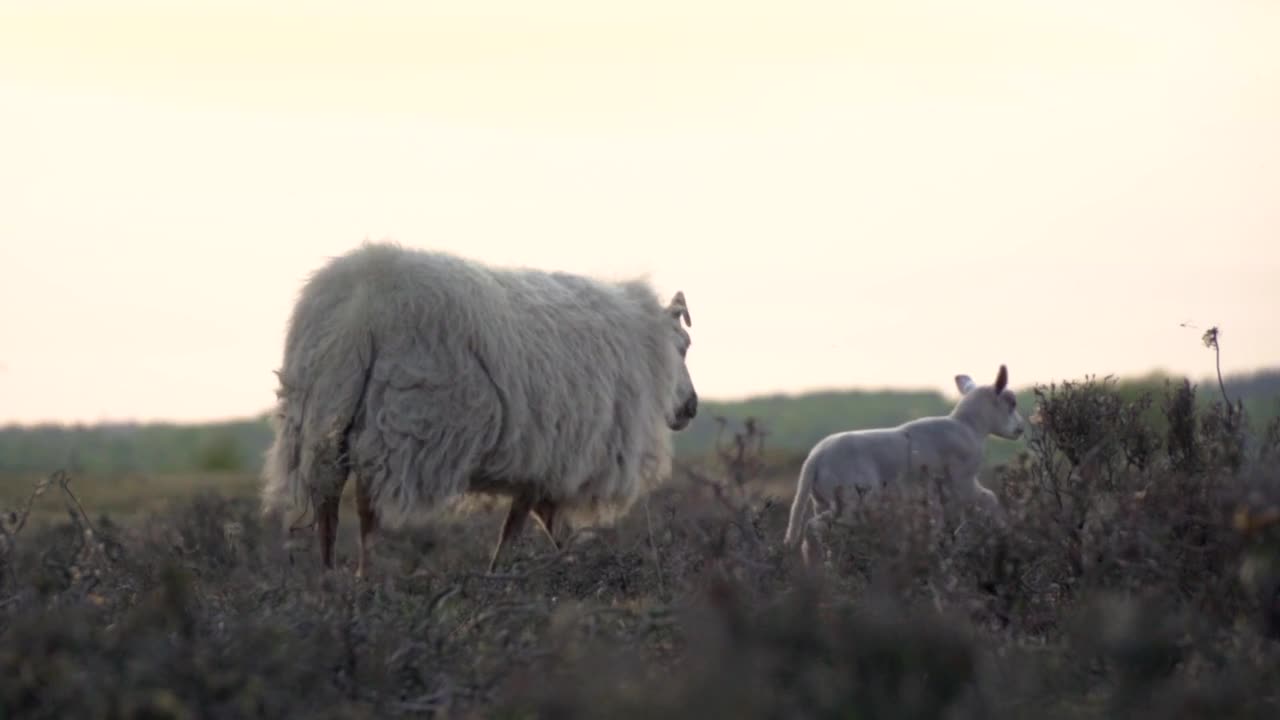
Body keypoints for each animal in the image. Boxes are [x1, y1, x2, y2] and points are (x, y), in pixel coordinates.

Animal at [259, 240, 701, 576]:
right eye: (683, 346)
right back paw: (364, 578)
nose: (692, 407)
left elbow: (534, 520)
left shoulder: (539, 460)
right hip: (398, 422)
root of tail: (362, 299)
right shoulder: (550, 456)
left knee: (329, 506)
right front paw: (527, 569)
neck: (647, 348)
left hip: (322, 416)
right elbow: (527, 525)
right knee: (366, 509)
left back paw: (330, 578)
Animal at [778, 363, 1029, 566]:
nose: (1020, 429)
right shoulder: (963, 482)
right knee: (814, 528)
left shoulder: (933, 498)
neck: (969, 426)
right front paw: (1003, 527)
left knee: (823, 532)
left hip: (822, 500)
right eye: (1011, 403)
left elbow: (938, 523)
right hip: (851, 501)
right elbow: (990, 498)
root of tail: (815, 457)